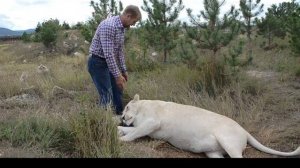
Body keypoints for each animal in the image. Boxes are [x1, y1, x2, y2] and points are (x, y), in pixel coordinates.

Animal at [118, 94, 300, 158]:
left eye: (126, 107)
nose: (122, 117)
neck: (142, 108)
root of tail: (244, 130)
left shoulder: (152, 122)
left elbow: (133, 133)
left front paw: (121, 139)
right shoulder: (147, 128)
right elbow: (131, 130)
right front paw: (119, 129)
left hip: (228, 142)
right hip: (213, 153)